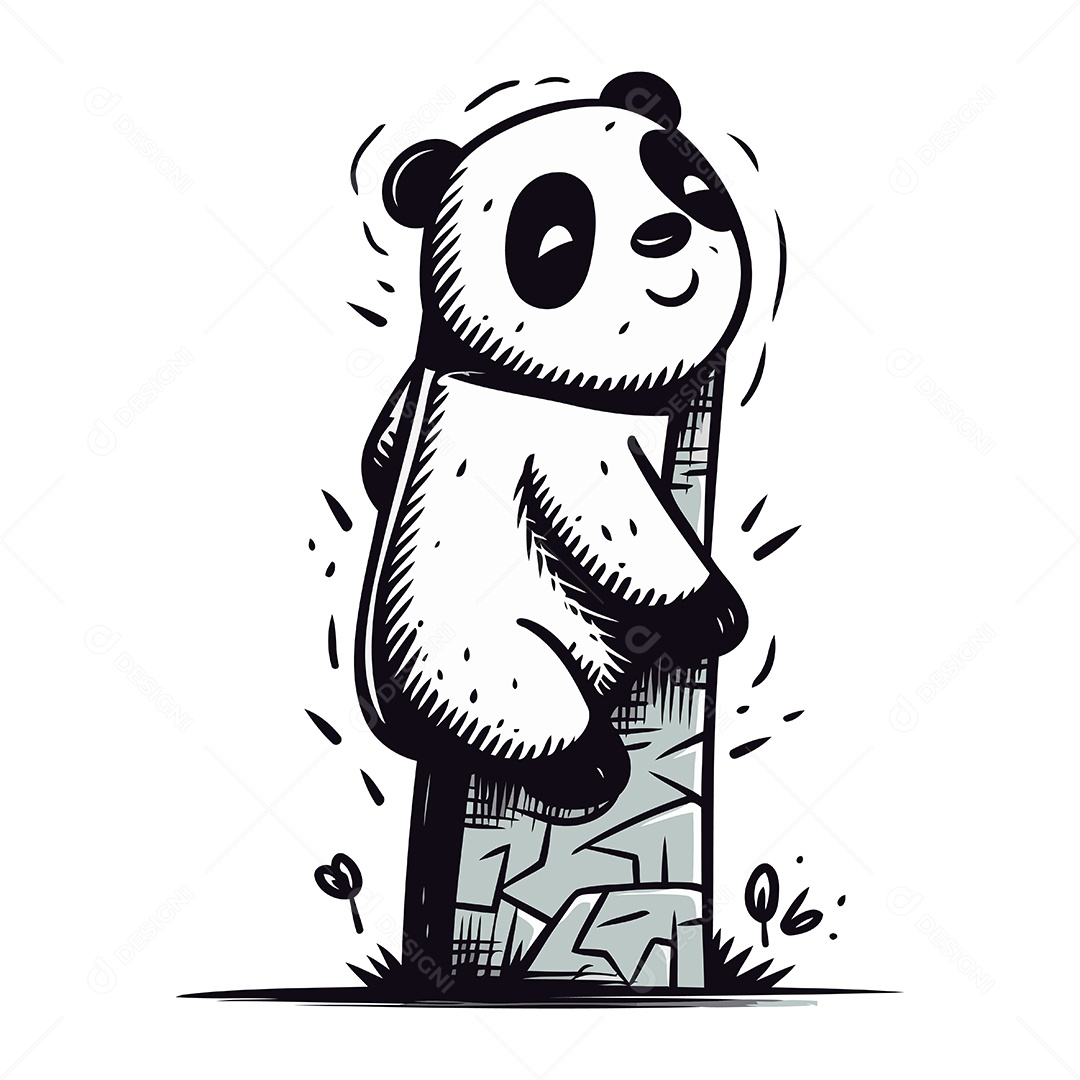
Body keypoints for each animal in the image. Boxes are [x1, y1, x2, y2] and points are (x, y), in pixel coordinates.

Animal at [354, 72, 763, 820]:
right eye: (556, 241)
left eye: (690, 186)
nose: (665, 232)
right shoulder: (549, 430)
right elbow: (619, 523)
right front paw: (712, 610)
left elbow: (383, 451)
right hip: (477, 651)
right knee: (524, 702)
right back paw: (587, 765)